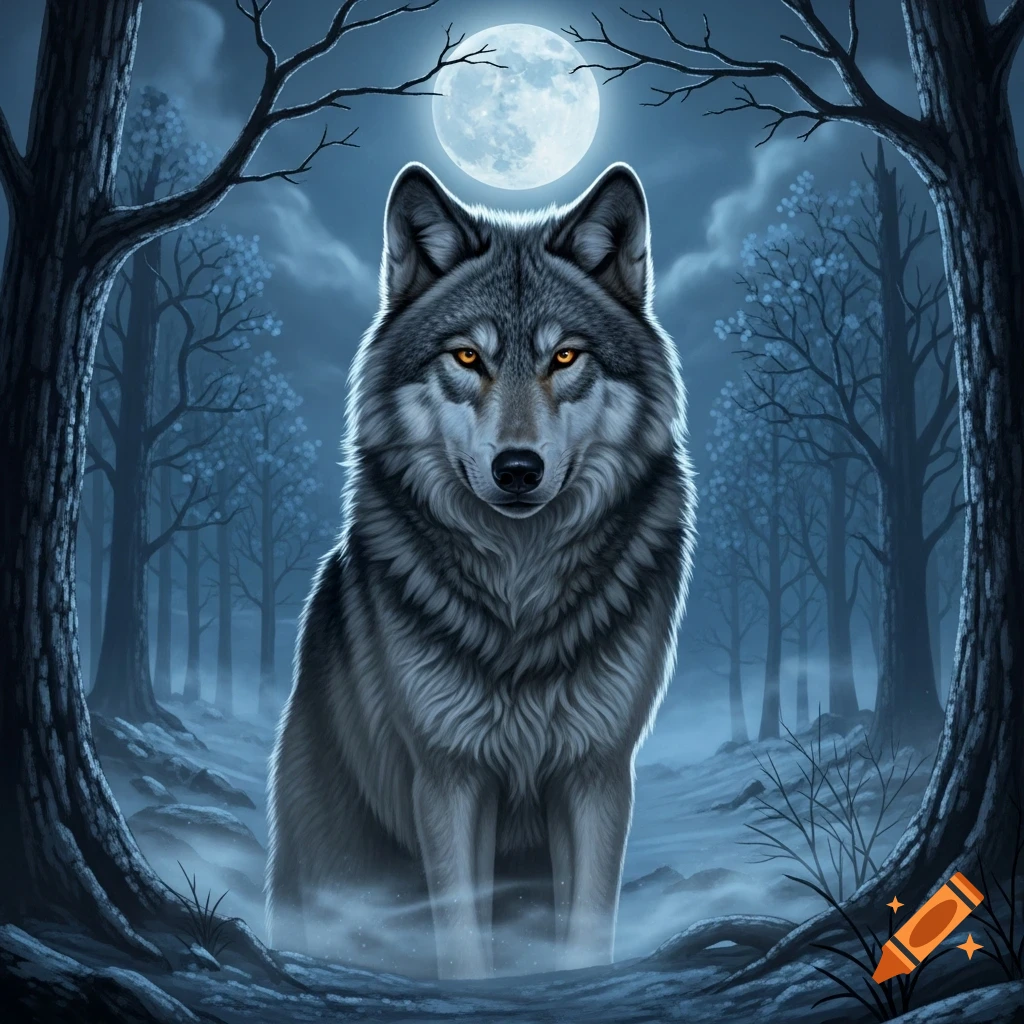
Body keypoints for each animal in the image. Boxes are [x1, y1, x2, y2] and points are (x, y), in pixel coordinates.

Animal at [265, 160, 696, 980]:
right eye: (468, 357)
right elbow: (462, 942)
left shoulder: (596, 773)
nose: (518, 469)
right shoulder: (448, 775)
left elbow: (585, 932)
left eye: (565, 357)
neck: (520, 588)